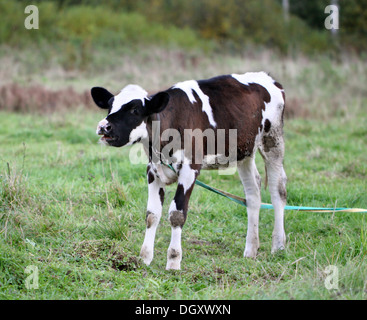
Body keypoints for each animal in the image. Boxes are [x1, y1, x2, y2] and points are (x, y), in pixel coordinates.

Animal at [92, 71, 288, 268]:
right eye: (110, 107)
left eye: (135, 110)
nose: (103, 127)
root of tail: (268, 78)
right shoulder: (153, 171)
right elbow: (152, 214)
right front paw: (144, 257)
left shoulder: (189, 170)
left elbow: (177, 214)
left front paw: (173, 261)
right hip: (244, 152)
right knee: (253, 192)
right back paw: (251, 249)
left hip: (273, 142)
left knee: (278, 191)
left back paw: (278, 245)